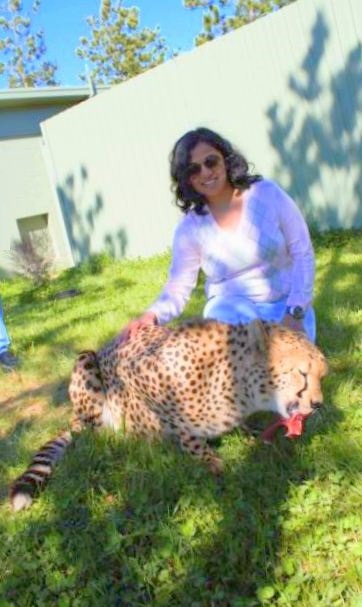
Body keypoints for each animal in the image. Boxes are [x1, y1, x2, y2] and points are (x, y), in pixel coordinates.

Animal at [10, 320, 328, 510]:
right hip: (85, 360)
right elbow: (177, 425)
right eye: (302, 374)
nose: (318, 404)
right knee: (93, 433)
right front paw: (208, 458)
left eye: (322, 375)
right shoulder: (136, 373)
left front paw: (249, 432)